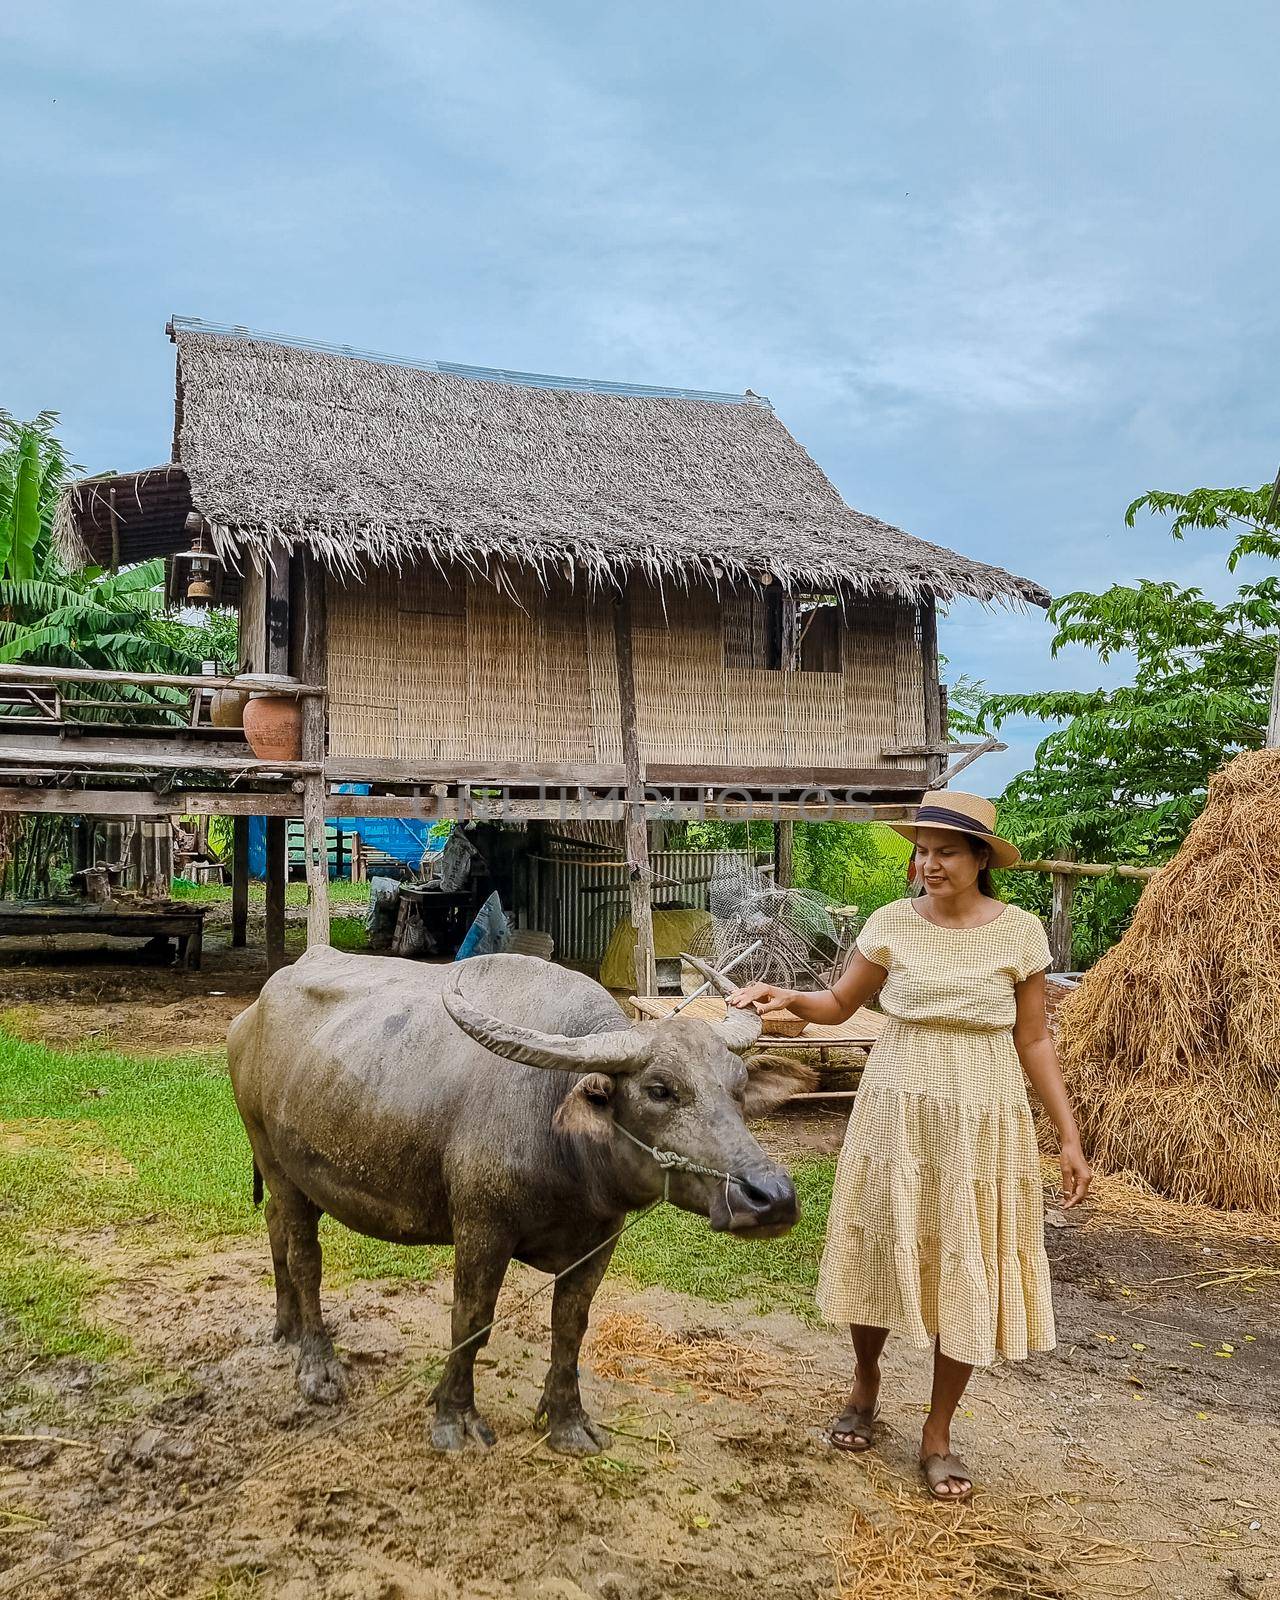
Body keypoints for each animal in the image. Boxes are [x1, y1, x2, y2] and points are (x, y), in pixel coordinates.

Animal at [228, 940, 809, 1459]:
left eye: (737, 1087)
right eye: (659, 1089)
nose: (772, 1198)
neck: (561, 1137)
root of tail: (249, 1017)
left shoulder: (598, 1241)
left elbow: (570, 1325)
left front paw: (568, 1422)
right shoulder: (482, 1229)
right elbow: (471, 1321)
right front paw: (453, 1417)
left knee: (276, 1228)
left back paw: (287, 1329)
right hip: (276, 1161)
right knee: (306, 1258)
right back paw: (318, 1366)